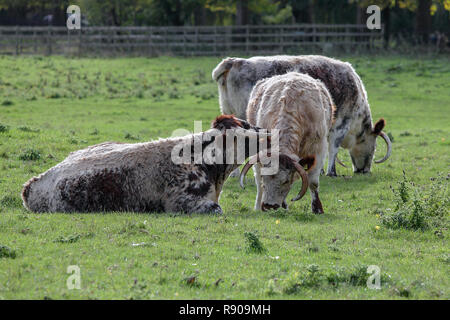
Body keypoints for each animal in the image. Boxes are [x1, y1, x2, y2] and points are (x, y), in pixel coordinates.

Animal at [211, 56, 390, 179]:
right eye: (374, 147)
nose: (364, 170)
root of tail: (234, 61)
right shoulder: (341, 124)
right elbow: (333, 149)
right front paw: (331, 172)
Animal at [239, 72, 334, 212]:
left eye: (285, 181)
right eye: (264, 178)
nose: (269, 205)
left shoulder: (318, 149)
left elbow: (313, 182)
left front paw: (317, 209)